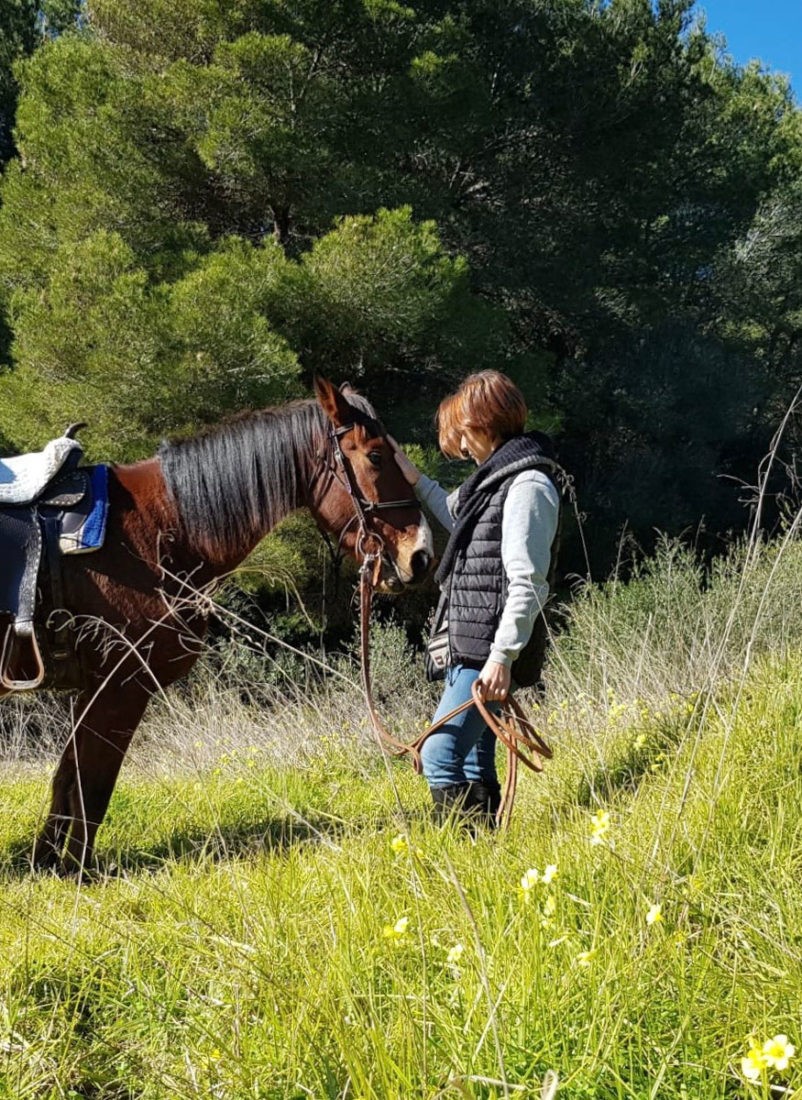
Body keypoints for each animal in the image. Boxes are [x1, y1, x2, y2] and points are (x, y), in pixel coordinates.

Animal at [3, 382, 431, 871]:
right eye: (376, 456)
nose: (420, 556)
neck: (155, 532)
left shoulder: (95, 690)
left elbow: (68, 778)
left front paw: (47, 862)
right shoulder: (120, 687)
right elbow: (92, 783)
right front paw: (79, 872)